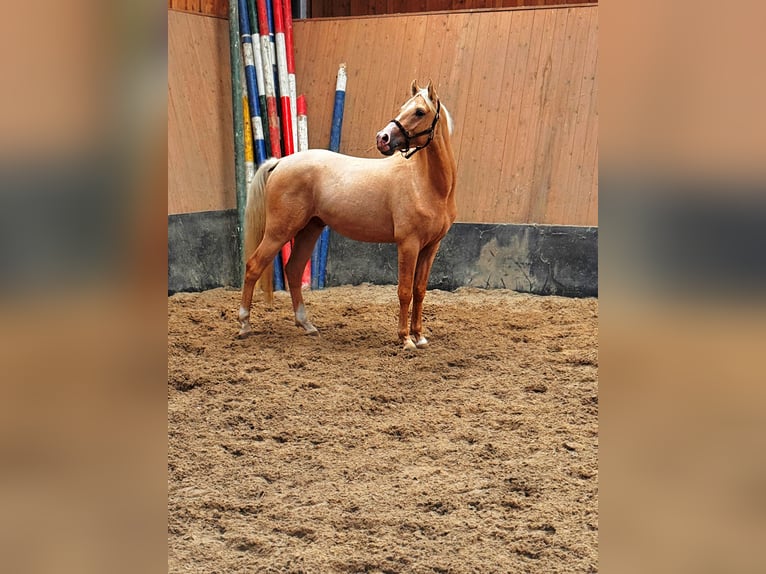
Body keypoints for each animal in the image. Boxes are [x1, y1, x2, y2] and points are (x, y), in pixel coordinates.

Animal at [238, 80, 456, 352]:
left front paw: (420, 336)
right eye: (403, 108)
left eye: (419, 112)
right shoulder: (409, 244)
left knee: (294, 270)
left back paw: (306, 325)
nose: (382, 138)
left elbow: (420, 290)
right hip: (279, 231)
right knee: (253, 266)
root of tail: (281, 162)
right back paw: (244, 325)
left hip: (310, 229)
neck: (427, 184)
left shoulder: (430, 246)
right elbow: (405, 291)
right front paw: (405, 340)